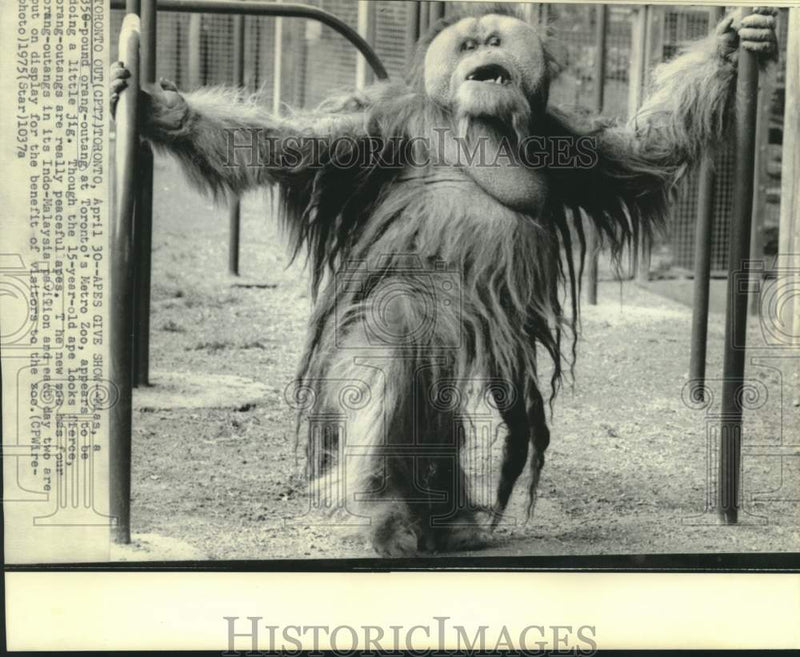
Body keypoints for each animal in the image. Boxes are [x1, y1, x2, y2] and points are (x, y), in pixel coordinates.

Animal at [110, 4, 778, 556]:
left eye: (495, 42)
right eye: (467, 47)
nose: (483, 57)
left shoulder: (572, 143)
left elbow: (648, 144)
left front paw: (736, 42)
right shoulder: (378, 132)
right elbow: (282, 146)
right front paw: (161, 109)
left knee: (435, 403)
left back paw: (446, 521)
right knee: (395, 341)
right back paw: (384, 511)